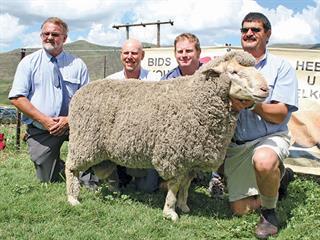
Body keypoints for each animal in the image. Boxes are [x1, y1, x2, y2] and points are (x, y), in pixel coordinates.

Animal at [66, 50, 268, 221]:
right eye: (234, 72)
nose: (265, 89)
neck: (196, 98)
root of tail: (81, 92)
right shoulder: (174, 154)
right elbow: (175, 186)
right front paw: (170, 212)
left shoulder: (191, 158)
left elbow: (186, 185)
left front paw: (184, 206)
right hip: (84, 141)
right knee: (71, 167)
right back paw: (72, 198)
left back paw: (112, 190)